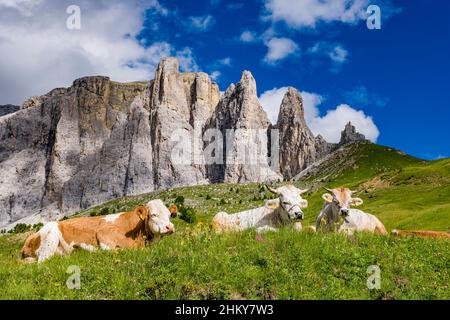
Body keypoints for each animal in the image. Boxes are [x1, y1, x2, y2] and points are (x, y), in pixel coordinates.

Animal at [21, 200, 176, 262]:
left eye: (169, 214)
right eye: (154, 214)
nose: (169, 227)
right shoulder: (103, 234)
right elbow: (116, 250)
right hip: (50, 237)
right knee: (42, 261)